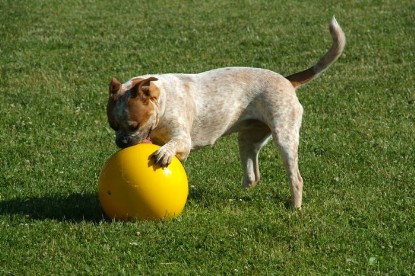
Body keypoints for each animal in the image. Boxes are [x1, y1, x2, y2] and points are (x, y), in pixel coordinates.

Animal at [105, 16, 346, 208]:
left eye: (134, 125)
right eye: (113, 126)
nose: (121, 143)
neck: (163, 99)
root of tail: (287, 80)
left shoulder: (184, 141)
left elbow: (174, 144)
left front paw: (164, 153)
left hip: (284, 137)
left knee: (296, 178)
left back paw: (295, 207)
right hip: (247, 139)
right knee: (253, 176)